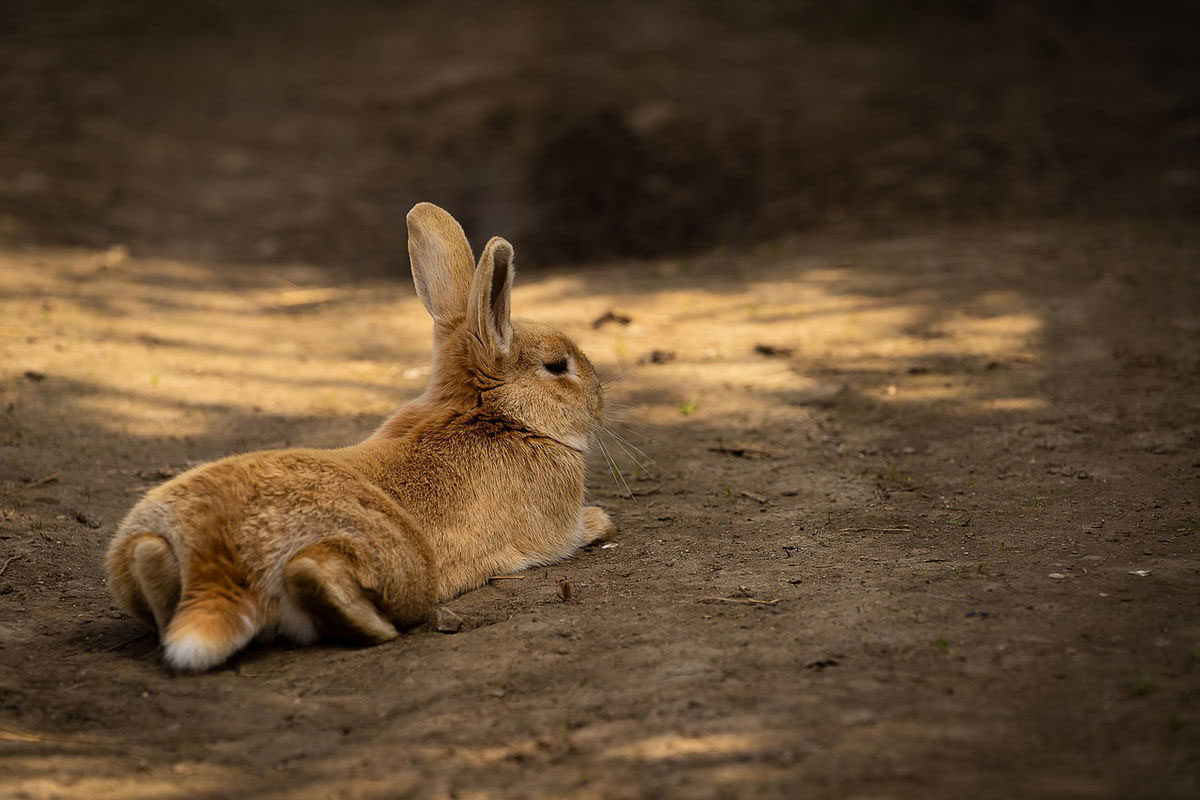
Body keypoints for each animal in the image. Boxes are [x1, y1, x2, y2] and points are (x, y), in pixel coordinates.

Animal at [104, 203, 614, 671]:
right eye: (557, 366)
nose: (600, 399)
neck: (491, 413)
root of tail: (218, 561)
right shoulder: (556, 528)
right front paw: (602, 521)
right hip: (402, 561)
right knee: (323, 576)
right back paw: (378, 624)